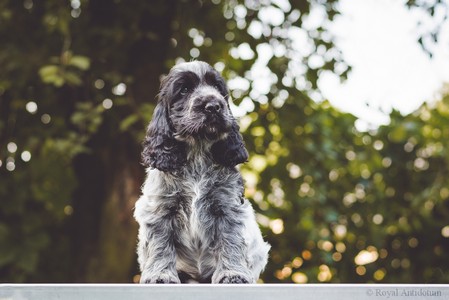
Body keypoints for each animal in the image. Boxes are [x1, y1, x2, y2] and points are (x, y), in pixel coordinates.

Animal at [133, 60, 270, 284]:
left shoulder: (227, 206)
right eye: (184, 90)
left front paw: (233, 275)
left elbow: (230, 240)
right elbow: (160, 244)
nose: (214, 106)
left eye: (217, 88)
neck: (198, 151)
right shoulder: (161, 208)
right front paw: (160, 276)